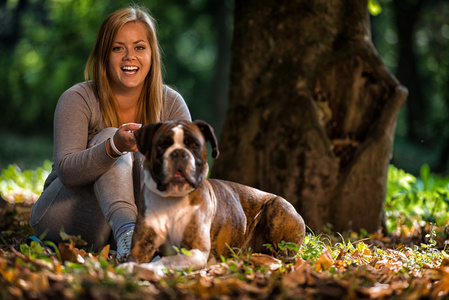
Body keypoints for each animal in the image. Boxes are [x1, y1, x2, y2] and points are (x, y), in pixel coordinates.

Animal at [122, 119, 304, 274]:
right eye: (162, 144)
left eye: (195, 145)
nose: (179, 153)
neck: (172, 199)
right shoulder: (141, 248)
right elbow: (132, 260)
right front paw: (126, 268)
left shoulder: (196, 251)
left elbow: (168, 260)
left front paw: (149, 268)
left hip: (278, 208)